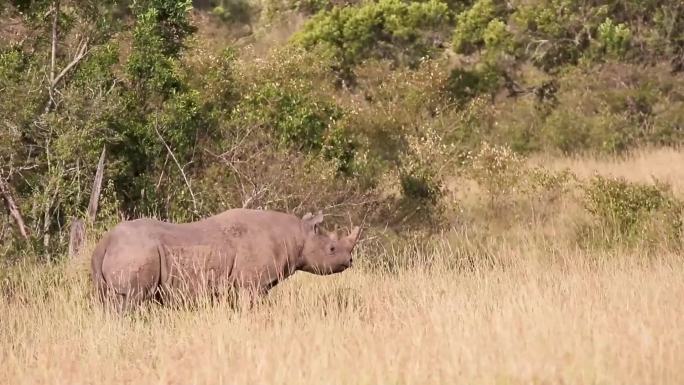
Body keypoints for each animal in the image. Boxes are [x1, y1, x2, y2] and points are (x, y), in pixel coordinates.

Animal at [91, 208, 364, 308]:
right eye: (332, 249)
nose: (350, 262)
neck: (298, 235)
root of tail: (105, 241)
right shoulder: (253, 284)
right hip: (137, 251)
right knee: (130, 300)